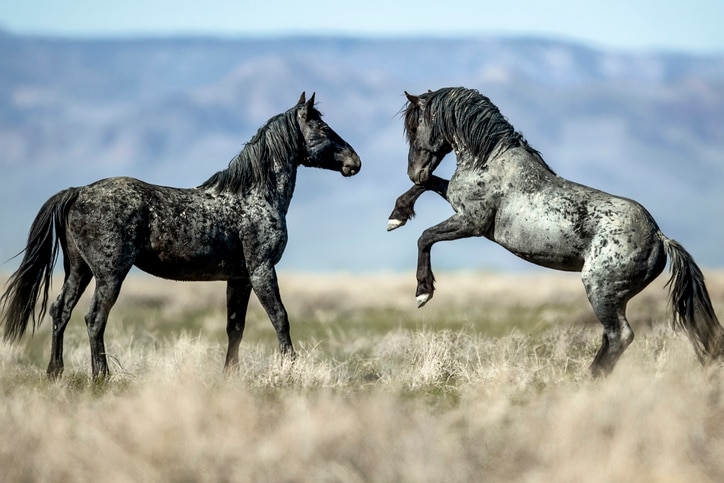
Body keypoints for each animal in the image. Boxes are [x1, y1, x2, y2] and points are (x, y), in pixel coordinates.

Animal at [0, 92, 361, 379]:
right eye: (324, 128)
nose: (354, 162)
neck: (254, 196)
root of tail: (77, 192)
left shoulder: (240, 279)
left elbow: (235, 326)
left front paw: (230, 374)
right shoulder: (262, 270)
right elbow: (280, 318)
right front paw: (290, 368)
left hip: (79, 270)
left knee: (60, 311)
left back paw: (55, 371)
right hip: (109, 275)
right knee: (94, 318)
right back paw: (102, 376)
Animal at [388, 86, 723, 376]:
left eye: (415, 126)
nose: (413, 170)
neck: (491, 160)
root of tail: (659, 238)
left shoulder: (471, 222)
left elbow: (425, 236)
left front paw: (423, 292)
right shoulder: (456, 204)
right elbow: (429, 186)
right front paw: (396, 216)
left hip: (600, 290)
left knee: (620, 336)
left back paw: (589, 380)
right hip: (616, 297)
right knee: (611, 337)